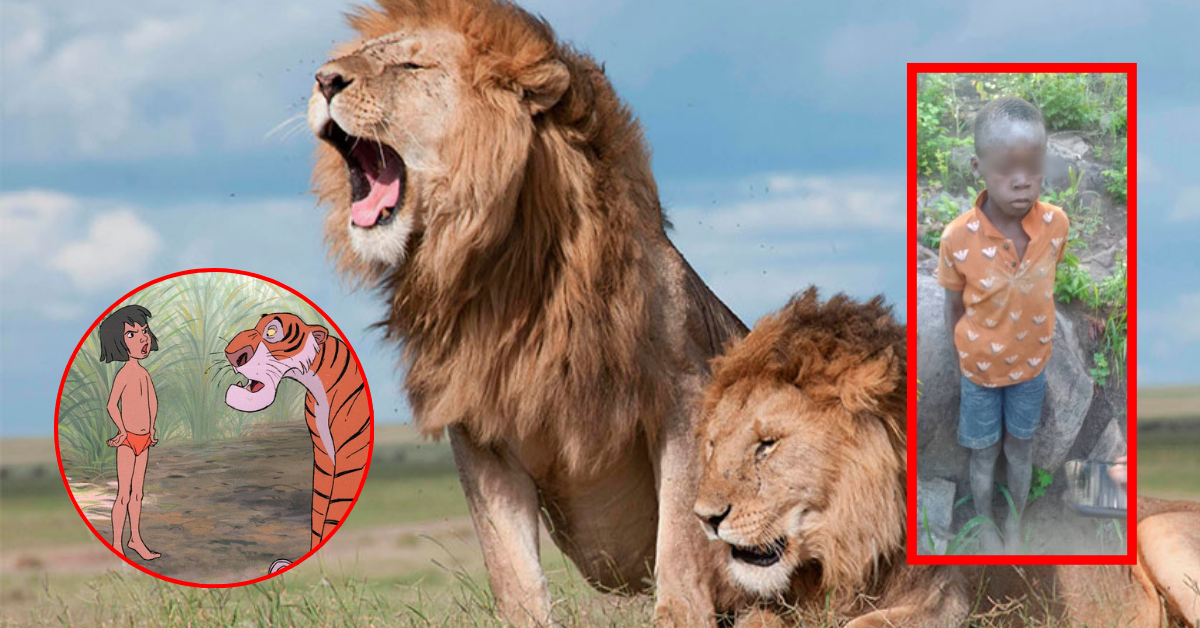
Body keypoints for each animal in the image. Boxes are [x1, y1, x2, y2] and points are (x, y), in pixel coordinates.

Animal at [306, 0, 746, 625]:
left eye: (412, 65)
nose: (324, 80)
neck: (505, 275)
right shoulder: (479, 429)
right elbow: (511, 570)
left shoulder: (683, 397)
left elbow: (680, 551)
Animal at [694, 288, 1200, 628]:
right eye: (714, 444)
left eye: (767, 444)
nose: (705, 518)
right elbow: (756, 619)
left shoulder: (952, 601)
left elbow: (865, 622)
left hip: (1157, 530)